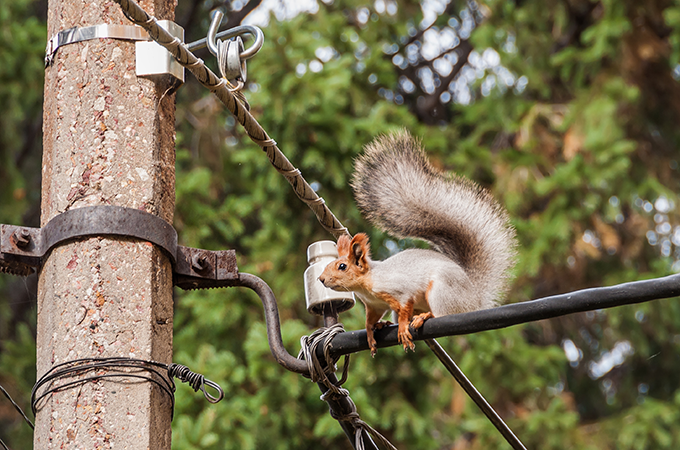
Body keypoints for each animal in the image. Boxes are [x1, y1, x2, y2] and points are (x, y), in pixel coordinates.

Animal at [318, 130, 516, 356]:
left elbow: (405, 307)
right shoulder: (374, 305)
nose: (321, 279)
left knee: (442, 314)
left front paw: (403, 328)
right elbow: (370, 320)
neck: (368, 284)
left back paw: (425, 317)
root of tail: (475, 298)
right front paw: (370, 332)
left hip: (442, 290)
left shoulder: (400, 290)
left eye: (342, 266)